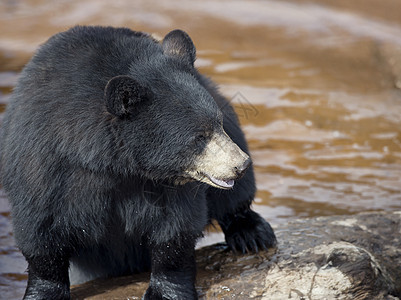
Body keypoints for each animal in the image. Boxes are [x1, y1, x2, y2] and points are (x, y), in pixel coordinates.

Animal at [0, 26, 276, 300]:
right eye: (199, 137)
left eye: (216, 124)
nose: (241, 165)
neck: (116, 165)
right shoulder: (47, 162)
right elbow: (41, 228)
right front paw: (44, 291)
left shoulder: (162, 183)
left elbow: (175, 228)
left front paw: (167, 291)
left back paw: (251, 234)